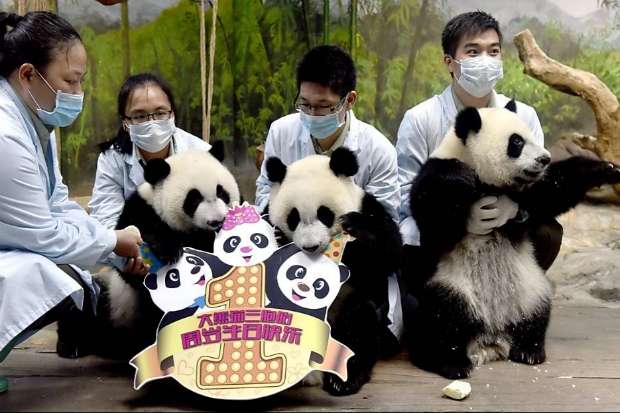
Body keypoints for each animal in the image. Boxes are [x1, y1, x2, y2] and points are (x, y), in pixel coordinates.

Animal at [262, 148, 402, 396]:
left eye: (324, 214)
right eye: (293, 217)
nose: (310, 246)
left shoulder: (368, 207)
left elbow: (390, 252)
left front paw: (356, 227)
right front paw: (277, 237)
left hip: (346, 307)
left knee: (358, 324)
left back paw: (343, 380)